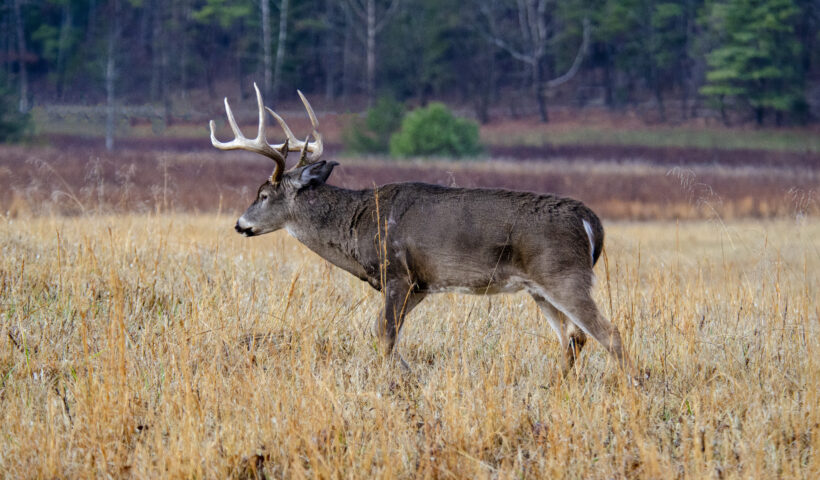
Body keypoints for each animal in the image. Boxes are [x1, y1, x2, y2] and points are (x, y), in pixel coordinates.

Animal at [208, 84, 636, 380]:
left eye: (263, 194)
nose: (240, 224)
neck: (359, 223)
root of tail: (591, 221)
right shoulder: (420, 284)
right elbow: (384, 332)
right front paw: (407, 376)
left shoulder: (397, 272)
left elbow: (383, 333)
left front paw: (395, 381)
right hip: (540, 288)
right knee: (573, 337)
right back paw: (558, 385)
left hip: (564, 274)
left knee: (608, 332)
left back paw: (631, 388)